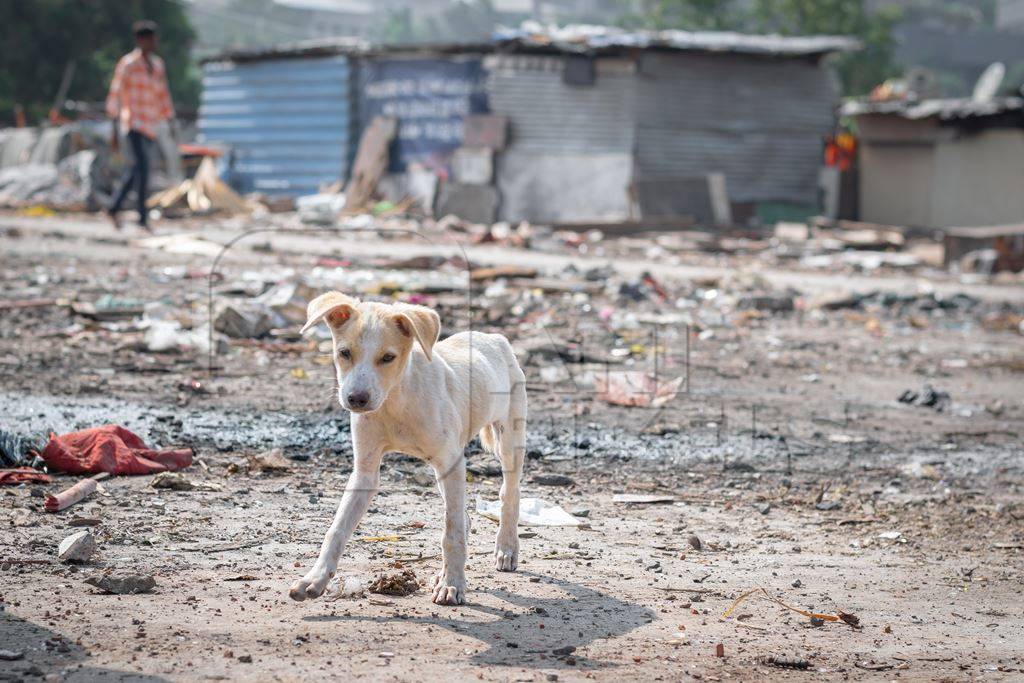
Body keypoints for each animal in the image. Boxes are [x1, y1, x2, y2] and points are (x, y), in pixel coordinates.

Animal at [288, 290, 528, 606]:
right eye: (344, 353)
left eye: (388, 357)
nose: (356, 399)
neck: (396, 400)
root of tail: (493, 337)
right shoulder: (365, 472)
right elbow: (337, 529)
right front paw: (314, 579)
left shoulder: (452, 463)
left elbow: (451, 533)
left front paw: (452, 584)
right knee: (461, 511)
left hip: (509, 439)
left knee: (508, 493)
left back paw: (507, 547)